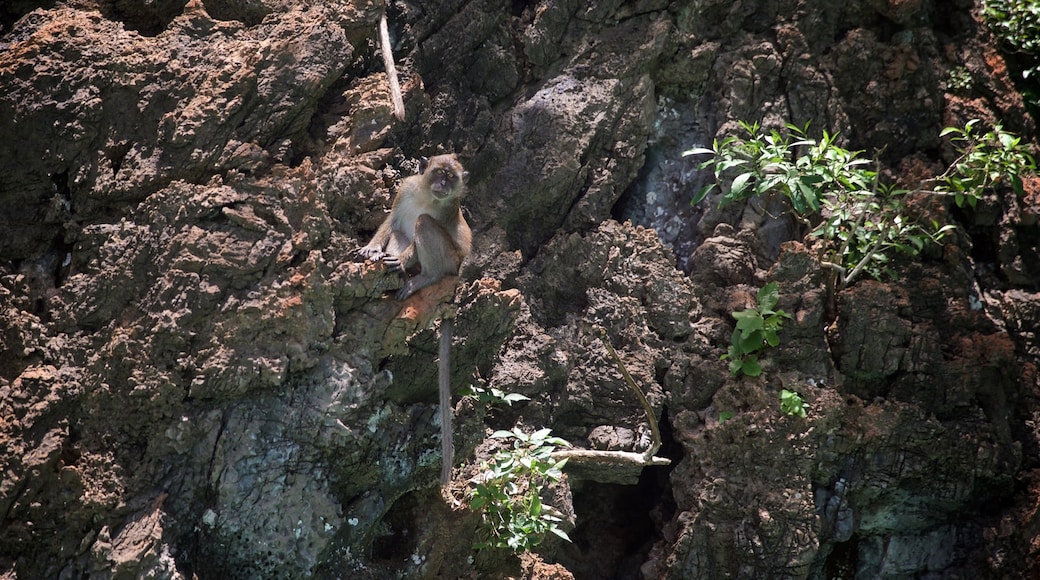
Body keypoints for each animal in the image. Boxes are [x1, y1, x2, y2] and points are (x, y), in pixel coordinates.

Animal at [357, 154, 472, 486]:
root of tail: (457, 274)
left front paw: (400, 259)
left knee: (424, 225)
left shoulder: (448, 209)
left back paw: (423, 277)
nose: (443, 183)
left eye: (452, 177)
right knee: (403, 230)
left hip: (449, 261)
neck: (427, 196)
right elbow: (393, 222)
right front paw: (372, 247)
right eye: (439, 172)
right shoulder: (406, 187)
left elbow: (424, 226)